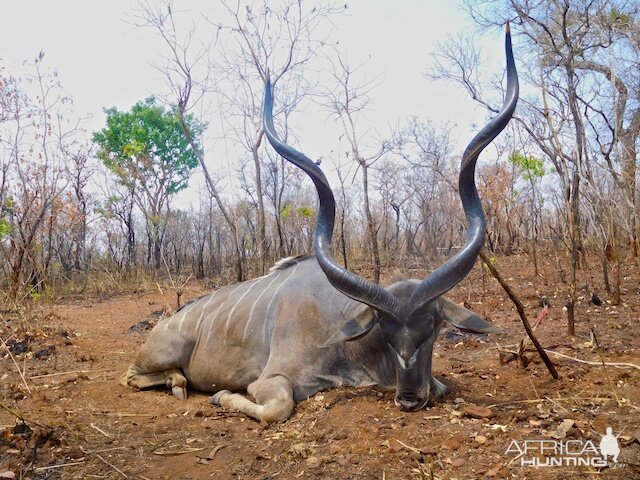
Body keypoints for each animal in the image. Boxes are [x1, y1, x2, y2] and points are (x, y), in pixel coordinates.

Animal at [122, 28, 516, 422]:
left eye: (433, 327)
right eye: (385, 330)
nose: (408, 398)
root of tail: (166, 322)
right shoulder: (271, 380)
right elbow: (276, 407)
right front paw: (220, 396)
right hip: (160, 354)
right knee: (133, 376)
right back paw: (177, 382)